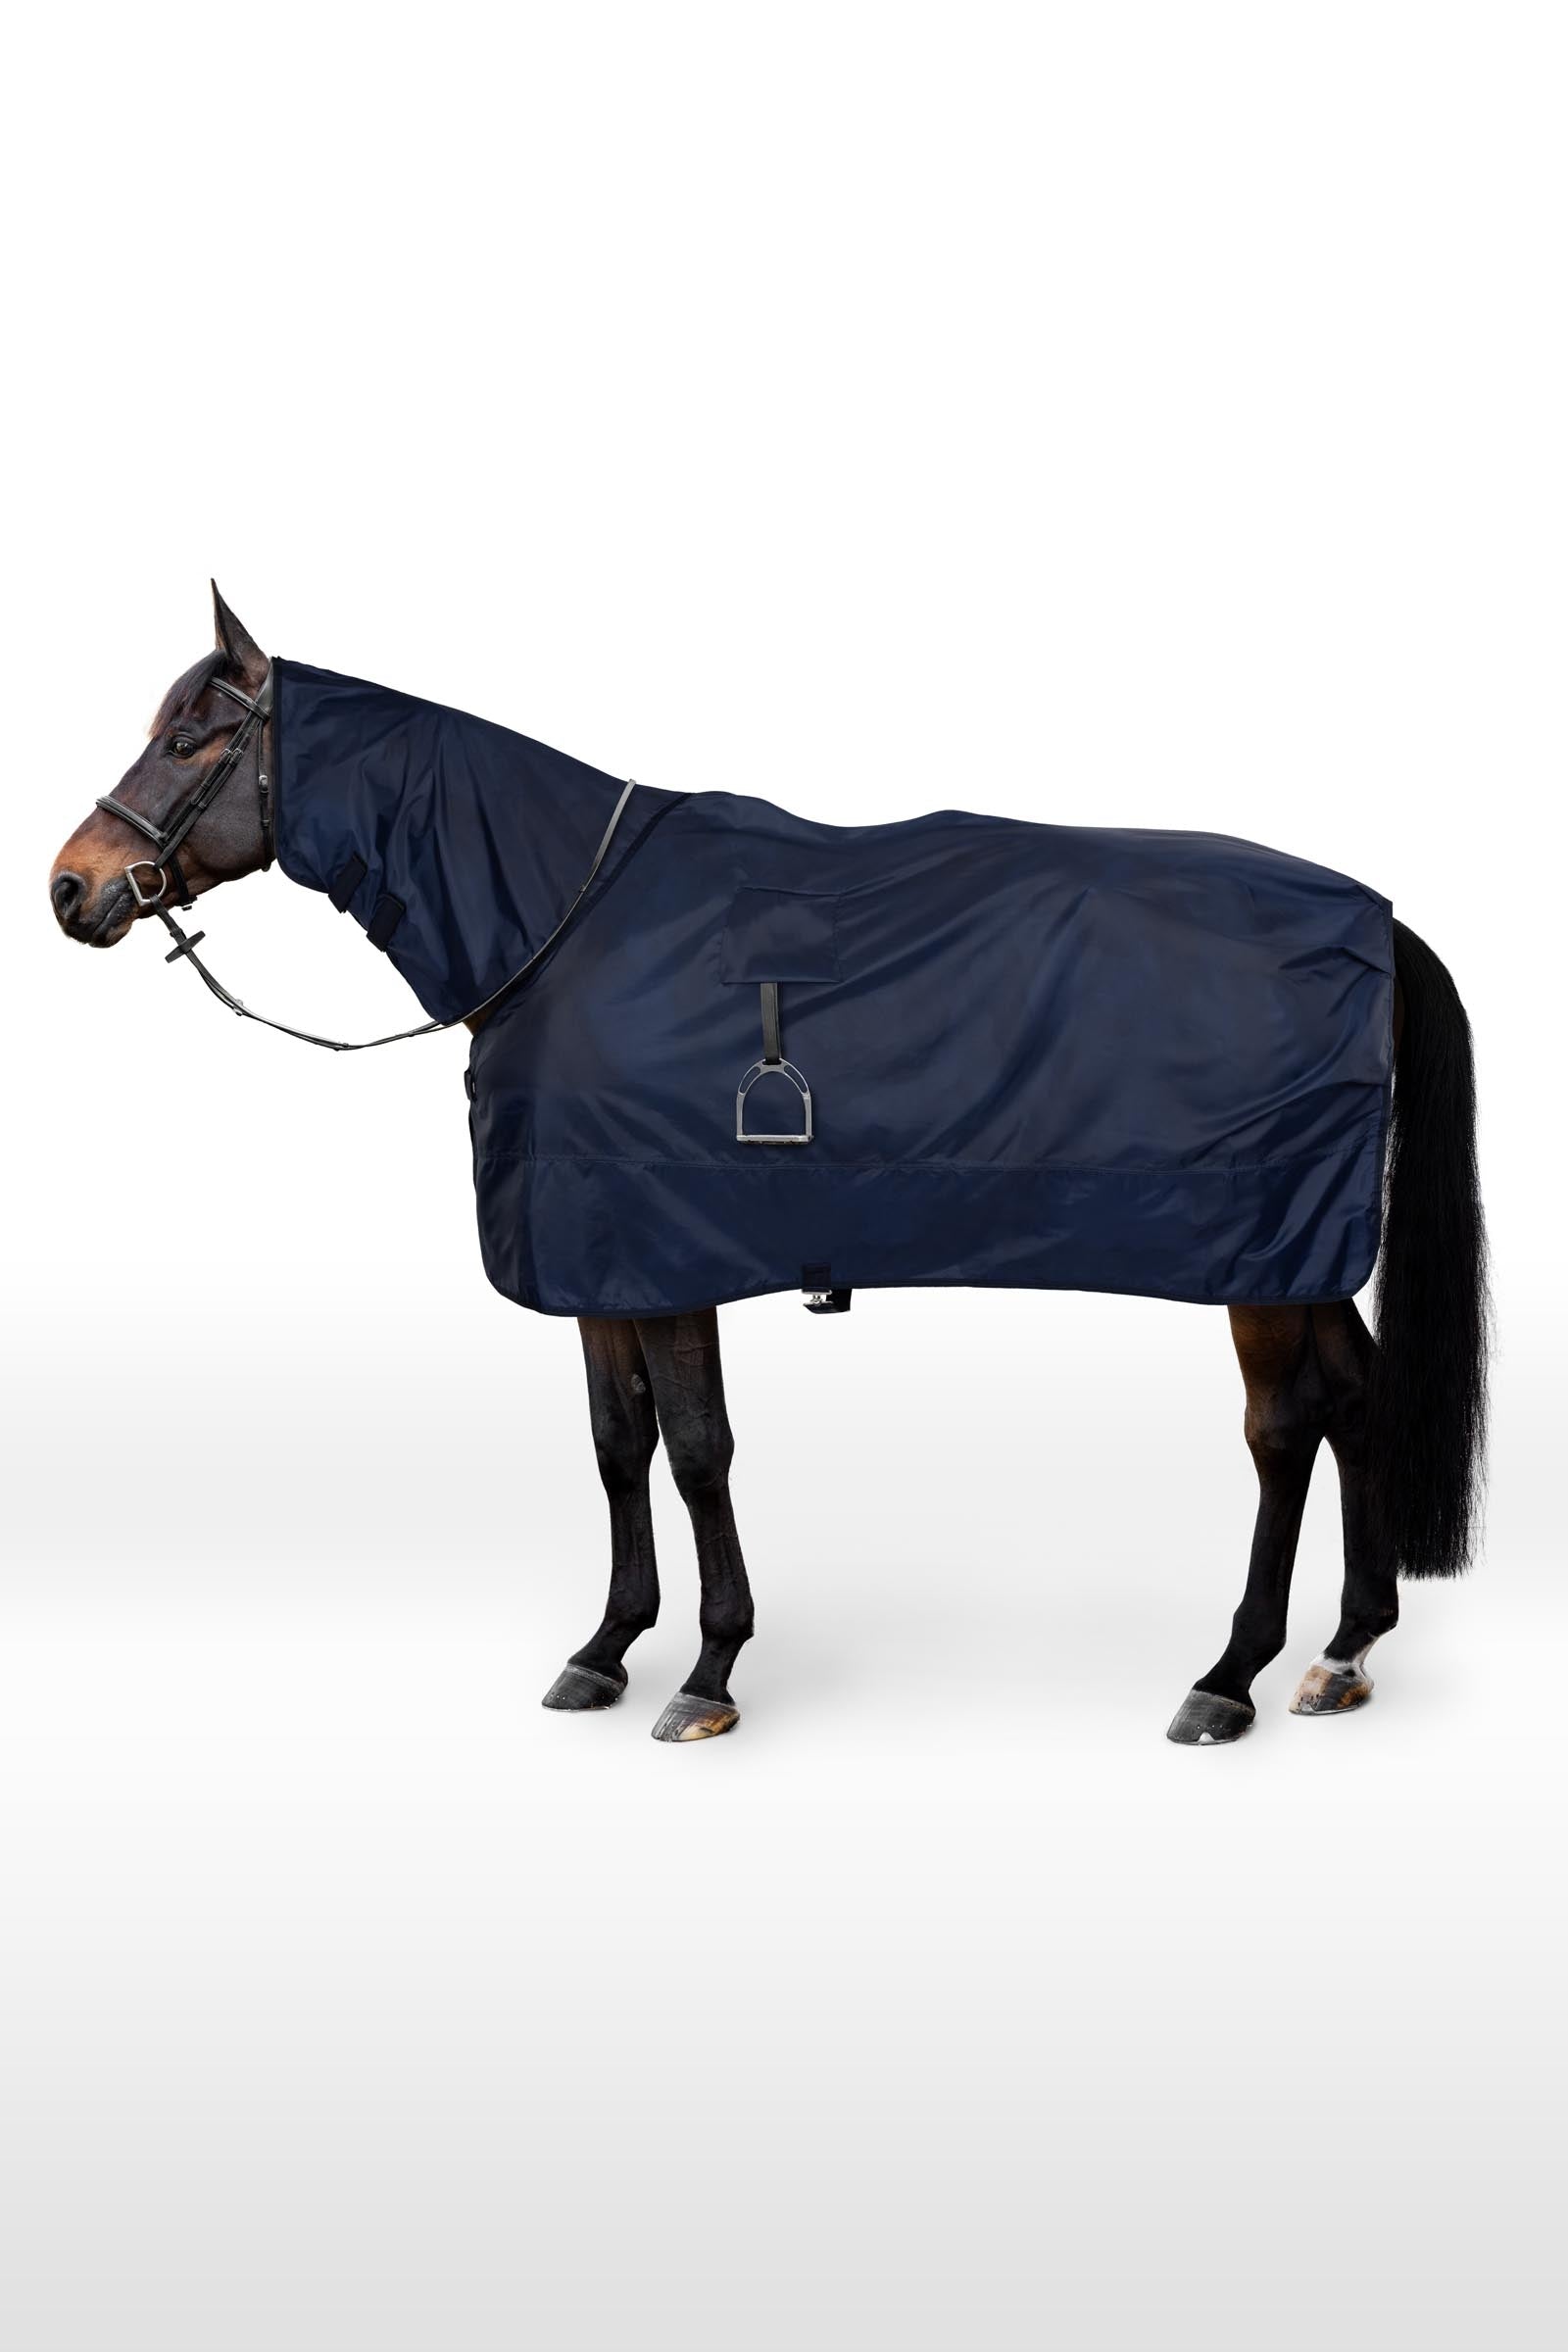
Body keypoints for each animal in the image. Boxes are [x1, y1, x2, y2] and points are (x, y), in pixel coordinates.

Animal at [49, 587, 1488, 1745]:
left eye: (192, 739)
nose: (72, 888)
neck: (568, 923)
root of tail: (1376, 919)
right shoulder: (603, 1263)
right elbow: (616, 1444)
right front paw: (605, 1649)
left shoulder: (668, 1258)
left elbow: (696, 1451)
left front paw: (708, 1672)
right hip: (1300, 1263)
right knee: (1354, 1401)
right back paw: (1344, 1653)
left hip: (1259, 1255)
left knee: (1283, 1430)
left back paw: (1231, 1676)